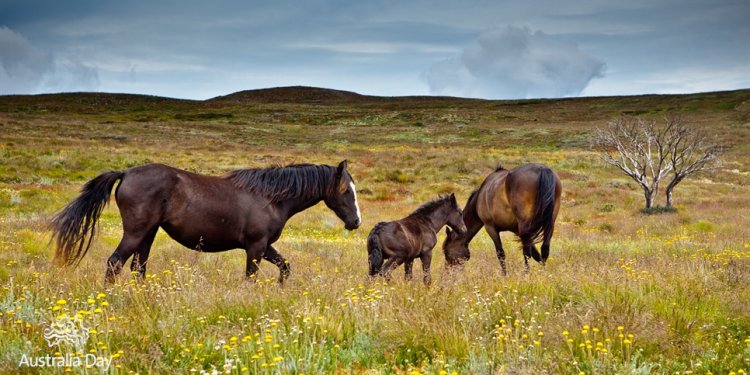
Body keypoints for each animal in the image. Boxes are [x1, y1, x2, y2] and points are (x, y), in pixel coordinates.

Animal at [51, 162, 362, 284]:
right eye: (347, 191)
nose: (356, 222)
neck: (270, 197)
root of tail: (126, 173)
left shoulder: (265, 247)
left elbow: (285, 267)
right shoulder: (256, 246)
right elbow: (250, 278)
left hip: (148, 234)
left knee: (138, 267)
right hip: (136, 232)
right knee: (114, 263)